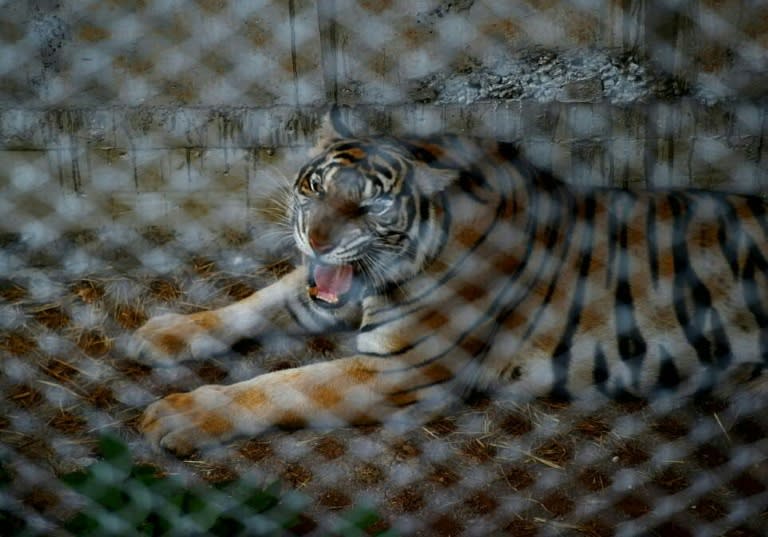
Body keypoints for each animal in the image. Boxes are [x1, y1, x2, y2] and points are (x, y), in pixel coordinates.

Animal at [136, 109, 768, 452]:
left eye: (371, 207)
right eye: (315, 187)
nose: (316, 240)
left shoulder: (402, 368)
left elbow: (284, 384)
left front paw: (181, 416)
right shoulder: (320, 294)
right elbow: (251, 303)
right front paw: (163, 334)